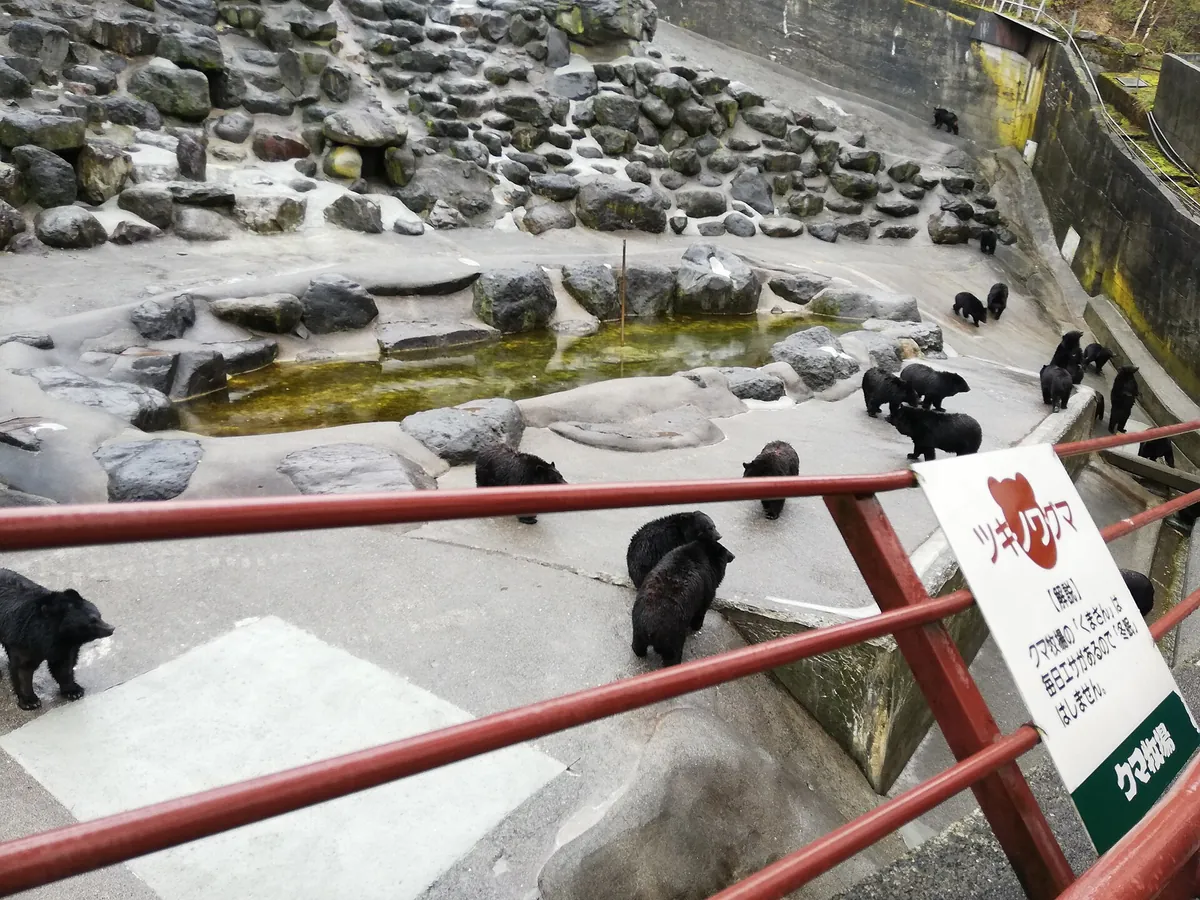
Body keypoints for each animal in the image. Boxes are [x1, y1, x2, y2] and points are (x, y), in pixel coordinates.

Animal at [0, 569, 114, 711]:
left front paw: (74, 691)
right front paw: (30, 701)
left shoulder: (65, 646)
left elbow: (63, 666)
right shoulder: (21, 639)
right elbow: (22, 669)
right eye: (92, 620)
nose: (111, 628)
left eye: (99, 615)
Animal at [631, 539, 736, 667]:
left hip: (637, 630)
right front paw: (697, 626)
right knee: (672, 655)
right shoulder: (707, 590)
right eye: (725, 552)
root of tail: (650, 628)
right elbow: (701, 611)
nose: (733, 556)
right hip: (673, 635)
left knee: (638, 646)